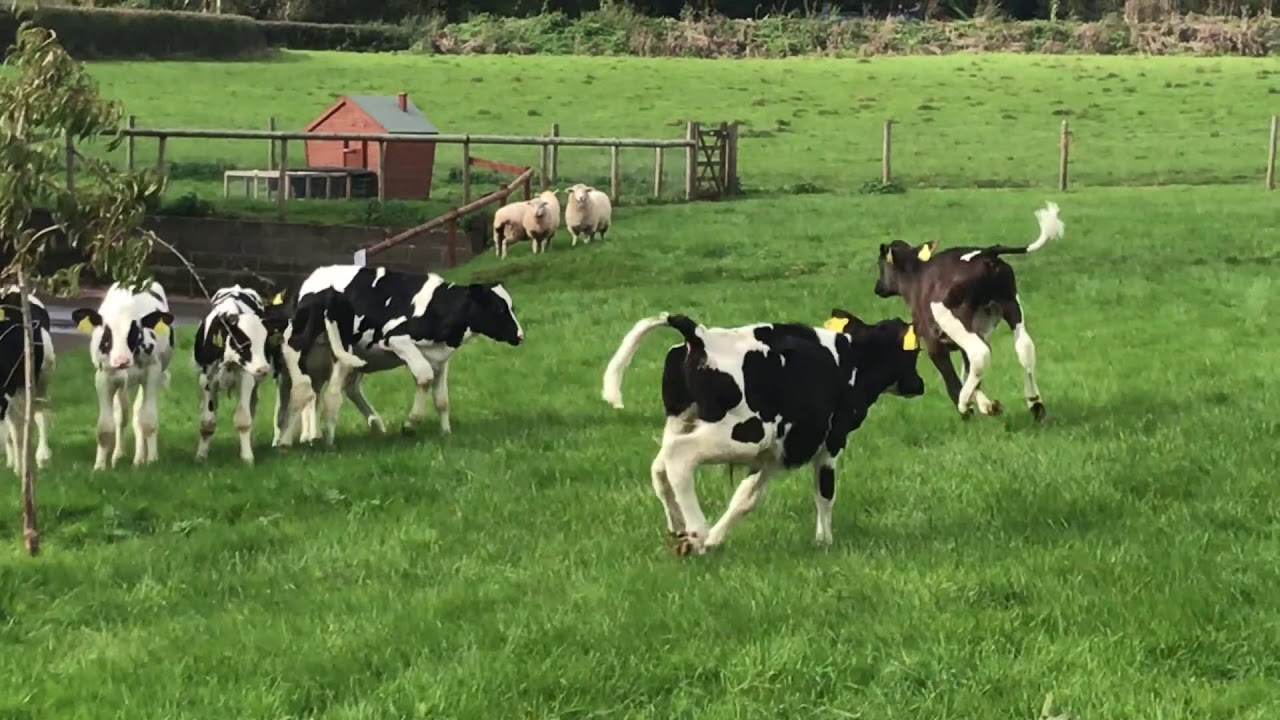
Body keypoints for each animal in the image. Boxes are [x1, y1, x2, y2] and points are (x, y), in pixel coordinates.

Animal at [71, 281, 175, 470]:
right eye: (107, 333)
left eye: (134, 331)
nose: (122, 360)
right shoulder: (103, 377)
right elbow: (105, 426)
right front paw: (100, 466)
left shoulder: (152, 372)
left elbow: (147, 420)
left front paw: (152, 460)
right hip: (121, 384)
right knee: (122, 415)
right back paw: (118, 456)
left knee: (137, 415)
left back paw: (139, 459)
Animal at [192, 285, 286, 465]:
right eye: (242, 340)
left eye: (265, 341)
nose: (263, 368)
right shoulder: (206, 380)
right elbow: (207, 422)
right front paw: (201, 455)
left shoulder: (246, 378)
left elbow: (244, 420)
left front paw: (247, 457)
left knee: (252, 408)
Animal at [276, 265, 525, 446]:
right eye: (499, 308)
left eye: (511, 307)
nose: (520, 335)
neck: (438, 306)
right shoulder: (397, 340)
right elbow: (424, 377)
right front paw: (410, 425)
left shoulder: (440, 358)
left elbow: (442, 399)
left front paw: (446, 432)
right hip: (306, 351)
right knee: (307, 391)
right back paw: (298, 439)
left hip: (341, 355)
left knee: (336, 391)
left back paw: (344, 432)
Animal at [600, 308, 925, 557]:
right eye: (914, 352)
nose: (920, 385)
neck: (856, 359)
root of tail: (701, 336)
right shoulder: (831, 443)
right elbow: (825, 493)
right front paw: (824, 541)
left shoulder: (772, 455)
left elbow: (745, 498)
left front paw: (717, 538)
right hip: (743, 433)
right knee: (679, 457)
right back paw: (697, 531)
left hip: (684, 421)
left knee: (659, 466)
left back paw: (678, 527)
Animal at [872, 201, 1064, 422]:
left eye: (880, 265)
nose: (877, 288)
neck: (916, 278)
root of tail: (986, 254)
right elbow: (968, 370)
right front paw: (987, 405)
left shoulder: (933, 342)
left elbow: (952, 378)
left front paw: (971, 407)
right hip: (1010, 305)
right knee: (1024, 347)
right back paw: (1035, 403)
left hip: (954, 317)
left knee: (979, 354)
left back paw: (964, 404)